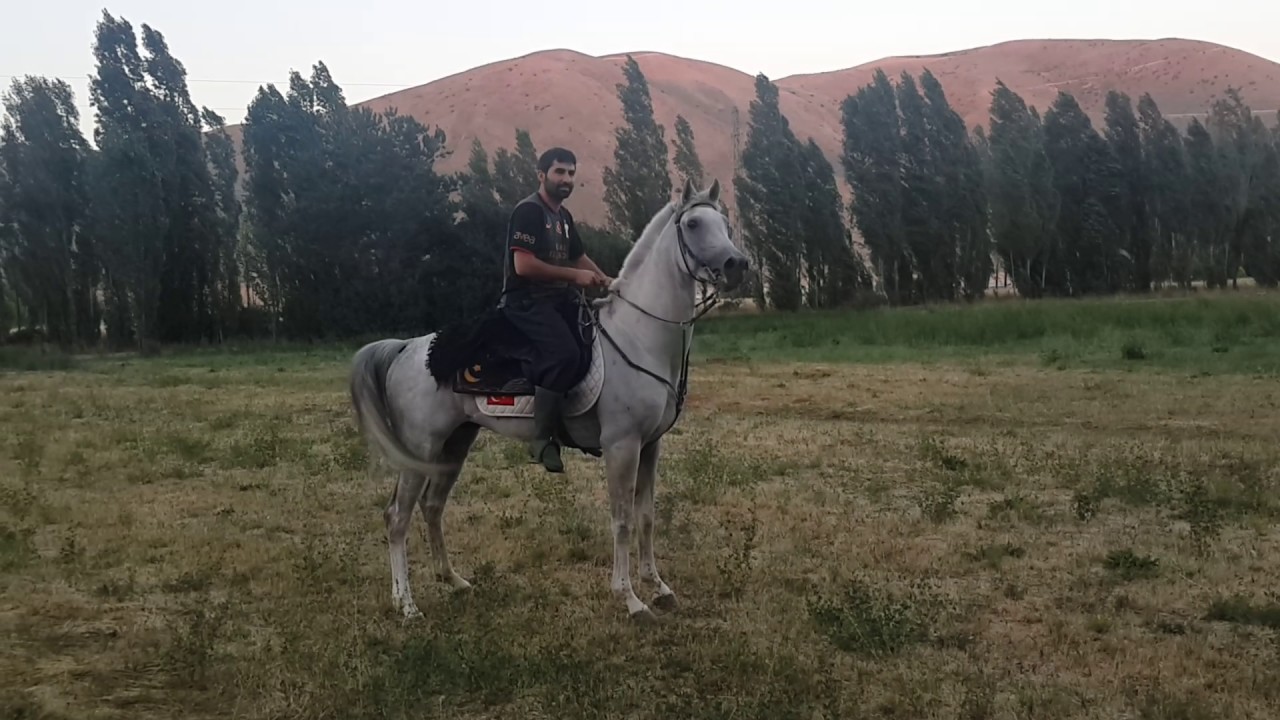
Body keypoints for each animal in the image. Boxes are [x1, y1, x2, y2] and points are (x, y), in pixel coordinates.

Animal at [350, 176, 747, 620]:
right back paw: (407, 604)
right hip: (420, 449)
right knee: (397, 517)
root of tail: (408, 348)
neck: (639, 336)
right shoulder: (621, 446)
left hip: (454, 444)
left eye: (725, 224)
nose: (738, 265)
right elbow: (622, 519)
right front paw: (630, 598)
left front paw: (658, 586)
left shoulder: (650, 446)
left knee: (432, 506)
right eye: (693, 224)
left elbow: (646, 516)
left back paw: (452, 580)